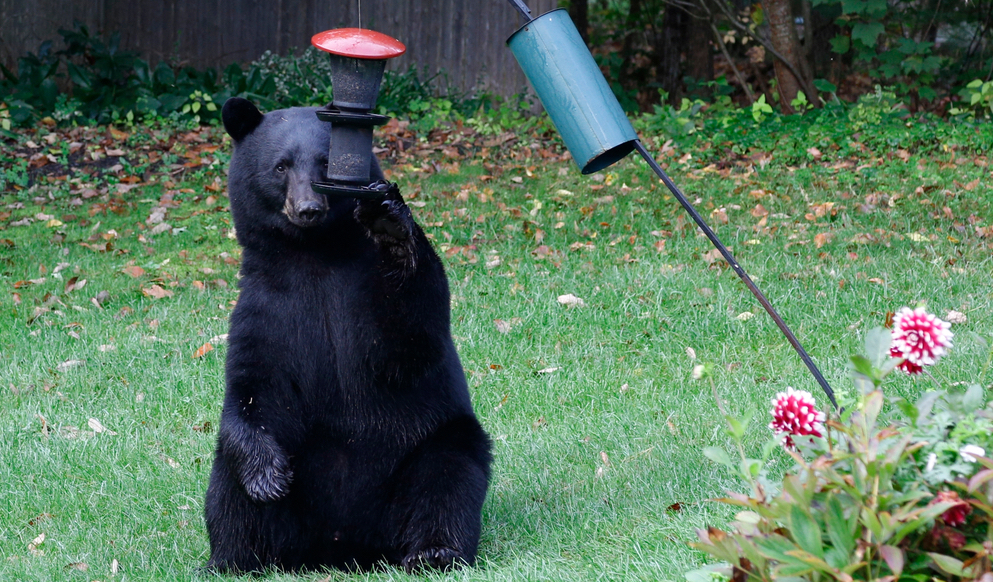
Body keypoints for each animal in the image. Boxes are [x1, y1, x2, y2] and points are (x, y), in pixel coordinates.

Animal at [205, 99, 492, 576]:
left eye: (325, 163)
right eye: (280, 166)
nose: (307, 208)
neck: (314, 256)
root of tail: (344, 549)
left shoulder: (363, 286)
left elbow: (408, 340)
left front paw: (391, 225)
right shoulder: (265, 309)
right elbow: (253, 387)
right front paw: (267, 477)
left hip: (431, 444)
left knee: (447, 480)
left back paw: (434, 551)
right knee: (228, 490)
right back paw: (232, 560)